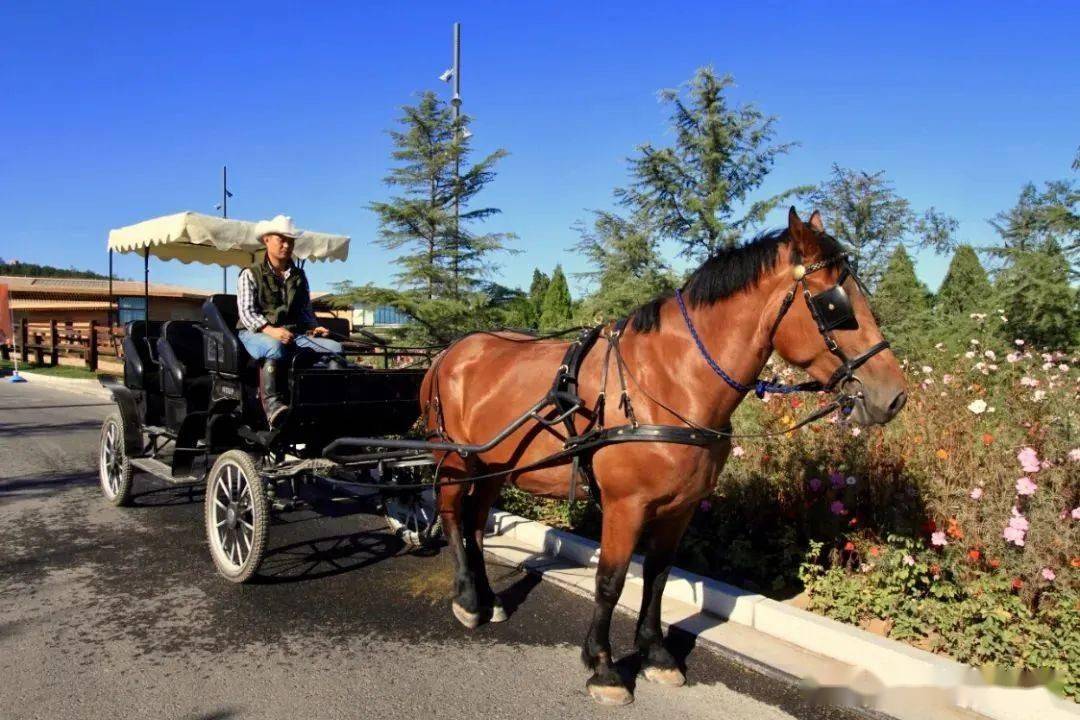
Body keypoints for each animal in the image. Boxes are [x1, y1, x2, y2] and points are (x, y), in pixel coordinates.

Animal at [416, 207, 907, 703]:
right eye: (834, 305)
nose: (894, 396)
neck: (669, 381)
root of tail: (449, 352)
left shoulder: (679, 507)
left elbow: (656, 575)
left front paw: (655, 654)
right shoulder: (624, 505)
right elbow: (610, 581)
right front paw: (603, 666)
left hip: (493, 466)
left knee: (477, 523)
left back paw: (488, 599)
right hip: (456, 460)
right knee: (453, 516)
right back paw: (468, 600)